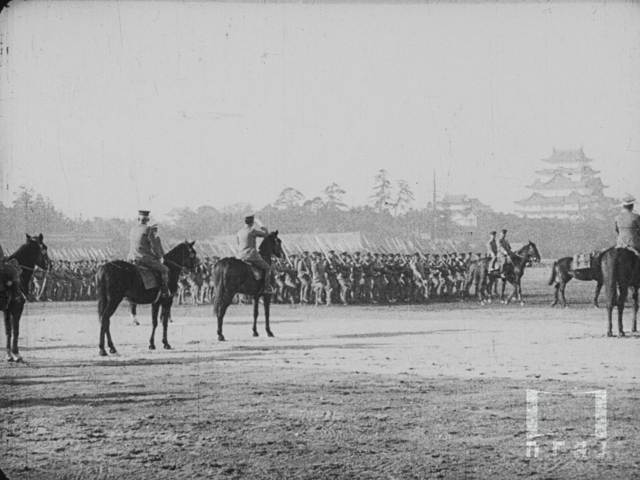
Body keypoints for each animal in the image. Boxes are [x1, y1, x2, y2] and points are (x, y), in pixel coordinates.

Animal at [3, 234, 49, 362]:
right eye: (45, 248)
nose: (50, 264)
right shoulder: (17, 306)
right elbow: (15, 329)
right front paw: (16, 353)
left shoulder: (7, 309)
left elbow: (8, 330)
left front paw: (9, 354)